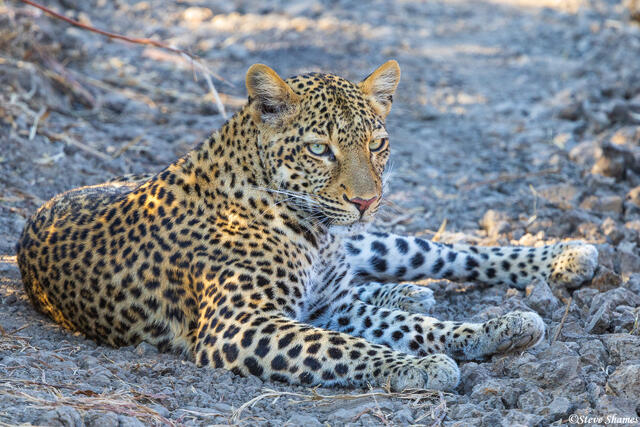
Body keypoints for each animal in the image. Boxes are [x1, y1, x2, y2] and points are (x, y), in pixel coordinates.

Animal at [16, 61, 599, 391]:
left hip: (379, 244)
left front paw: (492, 330)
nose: (367, 200)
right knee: (383, 281)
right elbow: (348, 346)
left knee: (442, 254)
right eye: (320, 149)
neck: (313, 234)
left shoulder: (328, 307)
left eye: (377, 144)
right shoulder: (242, 325)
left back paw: (566, 257)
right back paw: (414, 292)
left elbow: (410, 327)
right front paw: (423, 367)